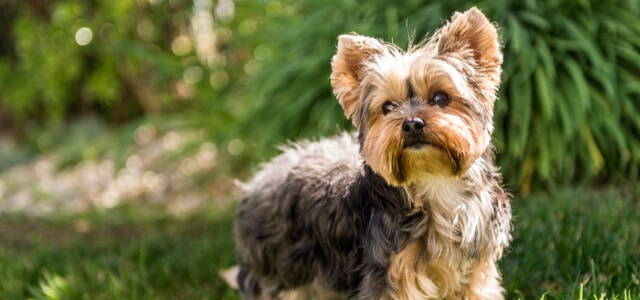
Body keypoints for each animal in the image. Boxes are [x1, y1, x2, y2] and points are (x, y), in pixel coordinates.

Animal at [225, 7, 510, 300]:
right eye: (388, 107)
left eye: (440, 97)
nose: (411, 124)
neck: (434, 181)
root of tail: (256, 181)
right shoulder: (391, 272)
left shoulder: (477, 266)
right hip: (279, 270)